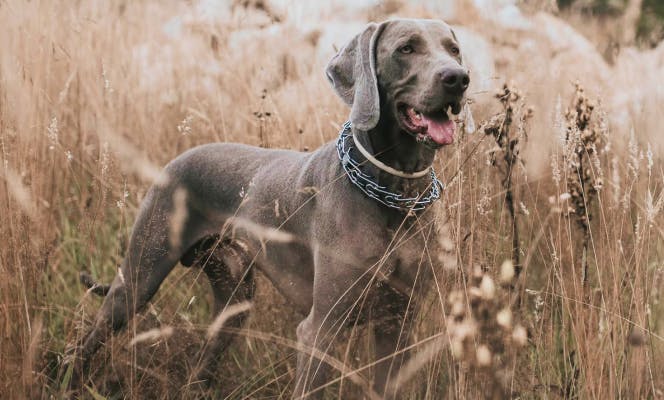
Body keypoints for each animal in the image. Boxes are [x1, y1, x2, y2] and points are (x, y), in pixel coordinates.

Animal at [70, 17, 470, 398]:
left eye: (454, 49)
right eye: (407, 48)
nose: (458, 78)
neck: (395, 194)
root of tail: (175, 160)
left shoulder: (397, 326)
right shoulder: (320, 329)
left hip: (234, 302)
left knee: (200, 366)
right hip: (138, 279)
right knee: (86, 342)